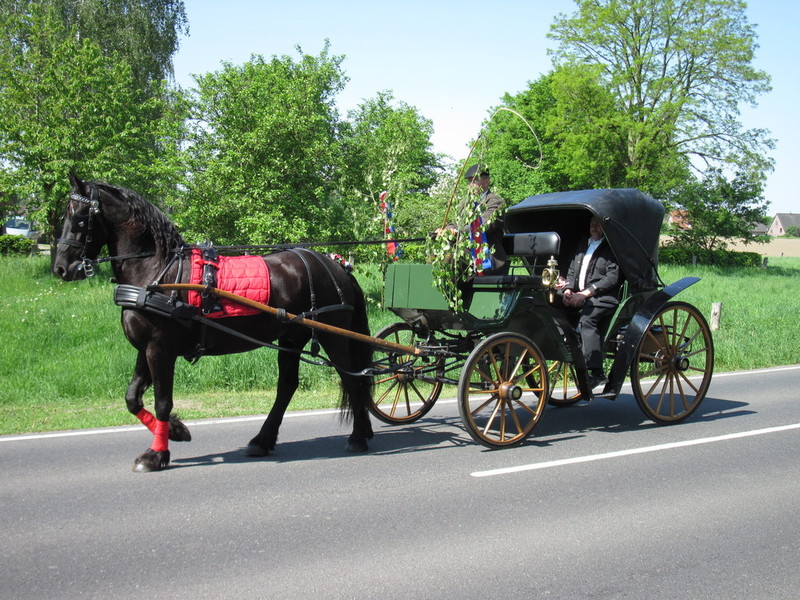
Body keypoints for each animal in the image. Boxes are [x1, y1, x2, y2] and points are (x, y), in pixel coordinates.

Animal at [53, 174, 374, 472]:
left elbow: (162, 401)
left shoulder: (160, 349)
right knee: (287, 386)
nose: (61, 269)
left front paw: (157, 454)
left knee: (352, 378)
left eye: (78, 217)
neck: (155, 271)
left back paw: (358, 436)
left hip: (334, 336)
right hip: (292, 337)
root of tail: (336, 265)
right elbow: (133, 398)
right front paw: (177, 430)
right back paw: (263, 440)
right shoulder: (146, 348)